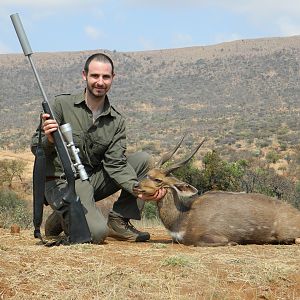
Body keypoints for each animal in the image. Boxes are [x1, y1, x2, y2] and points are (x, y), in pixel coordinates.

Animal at [133, 136, 300, 246]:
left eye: (158, 180)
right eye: (148, 174)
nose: (136, 186)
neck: (184, 217)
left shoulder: (212, 237)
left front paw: (234, 243)